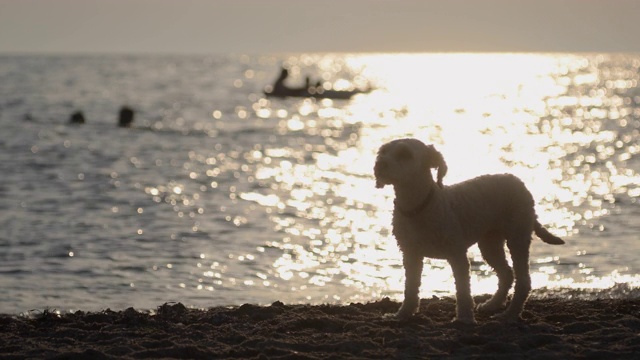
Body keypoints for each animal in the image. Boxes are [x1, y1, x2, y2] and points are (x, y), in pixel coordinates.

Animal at [376, 139, 564, 324]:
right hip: (490, 243)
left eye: (405, 154)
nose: (379, 164)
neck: (419, 206)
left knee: (523, 281)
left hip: (517, 237)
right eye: (383, 151)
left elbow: (463, 289)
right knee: (507, 274)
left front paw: (464, 318)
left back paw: (509, 315)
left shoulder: (457, 255)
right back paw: (493, 304)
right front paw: (403, 314)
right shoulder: (411, 255)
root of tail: (516, 181)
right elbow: (410, 287)